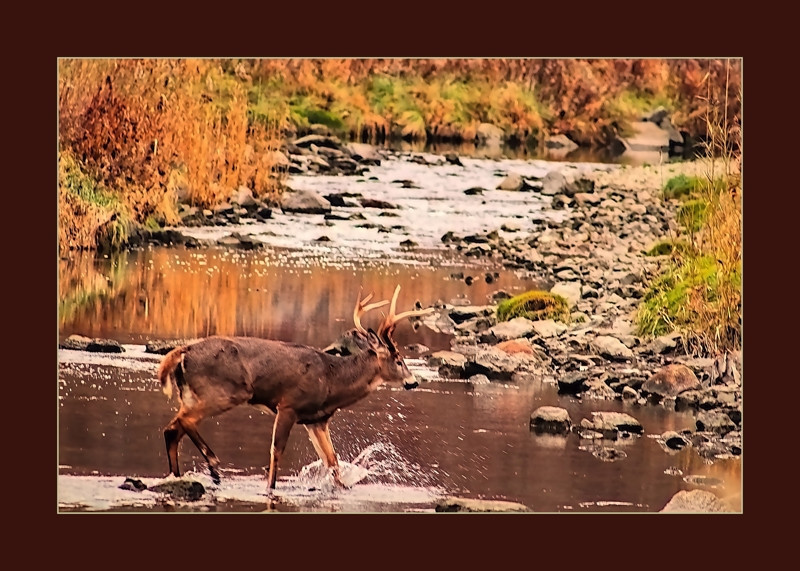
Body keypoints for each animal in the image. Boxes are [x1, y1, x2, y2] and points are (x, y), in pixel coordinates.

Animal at [156, 285, 433, 492]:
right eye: (398, 359)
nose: (413, 382)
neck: (332, 381)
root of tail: (183, 351)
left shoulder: (317, 419)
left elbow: (332, 461)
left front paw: (342, 488)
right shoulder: (289, 404)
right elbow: (276, 451)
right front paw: (270, 488)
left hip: (191, 395)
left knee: (173, 429)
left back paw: (178, 475)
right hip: (224, 392)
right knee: (183, 423)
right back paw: (213, 467)